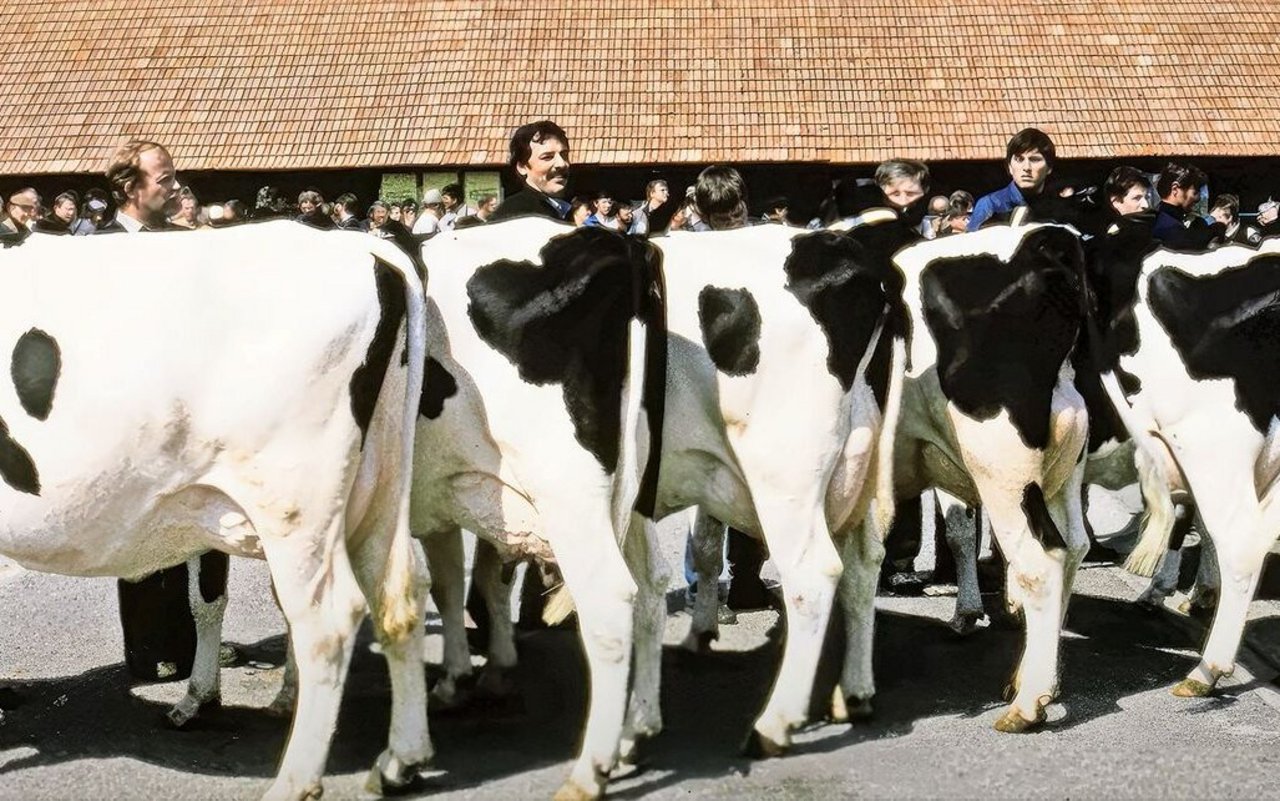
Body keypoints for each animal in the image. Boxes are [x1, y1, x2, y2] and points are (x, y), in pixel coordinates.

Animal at [0, 222, 430, 798]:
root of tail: (361, 245)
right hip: (378, 483)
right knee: (399, 596)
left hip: (294, 503)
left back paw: (294, 782)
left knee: (329, 621)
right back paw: (399, 760)